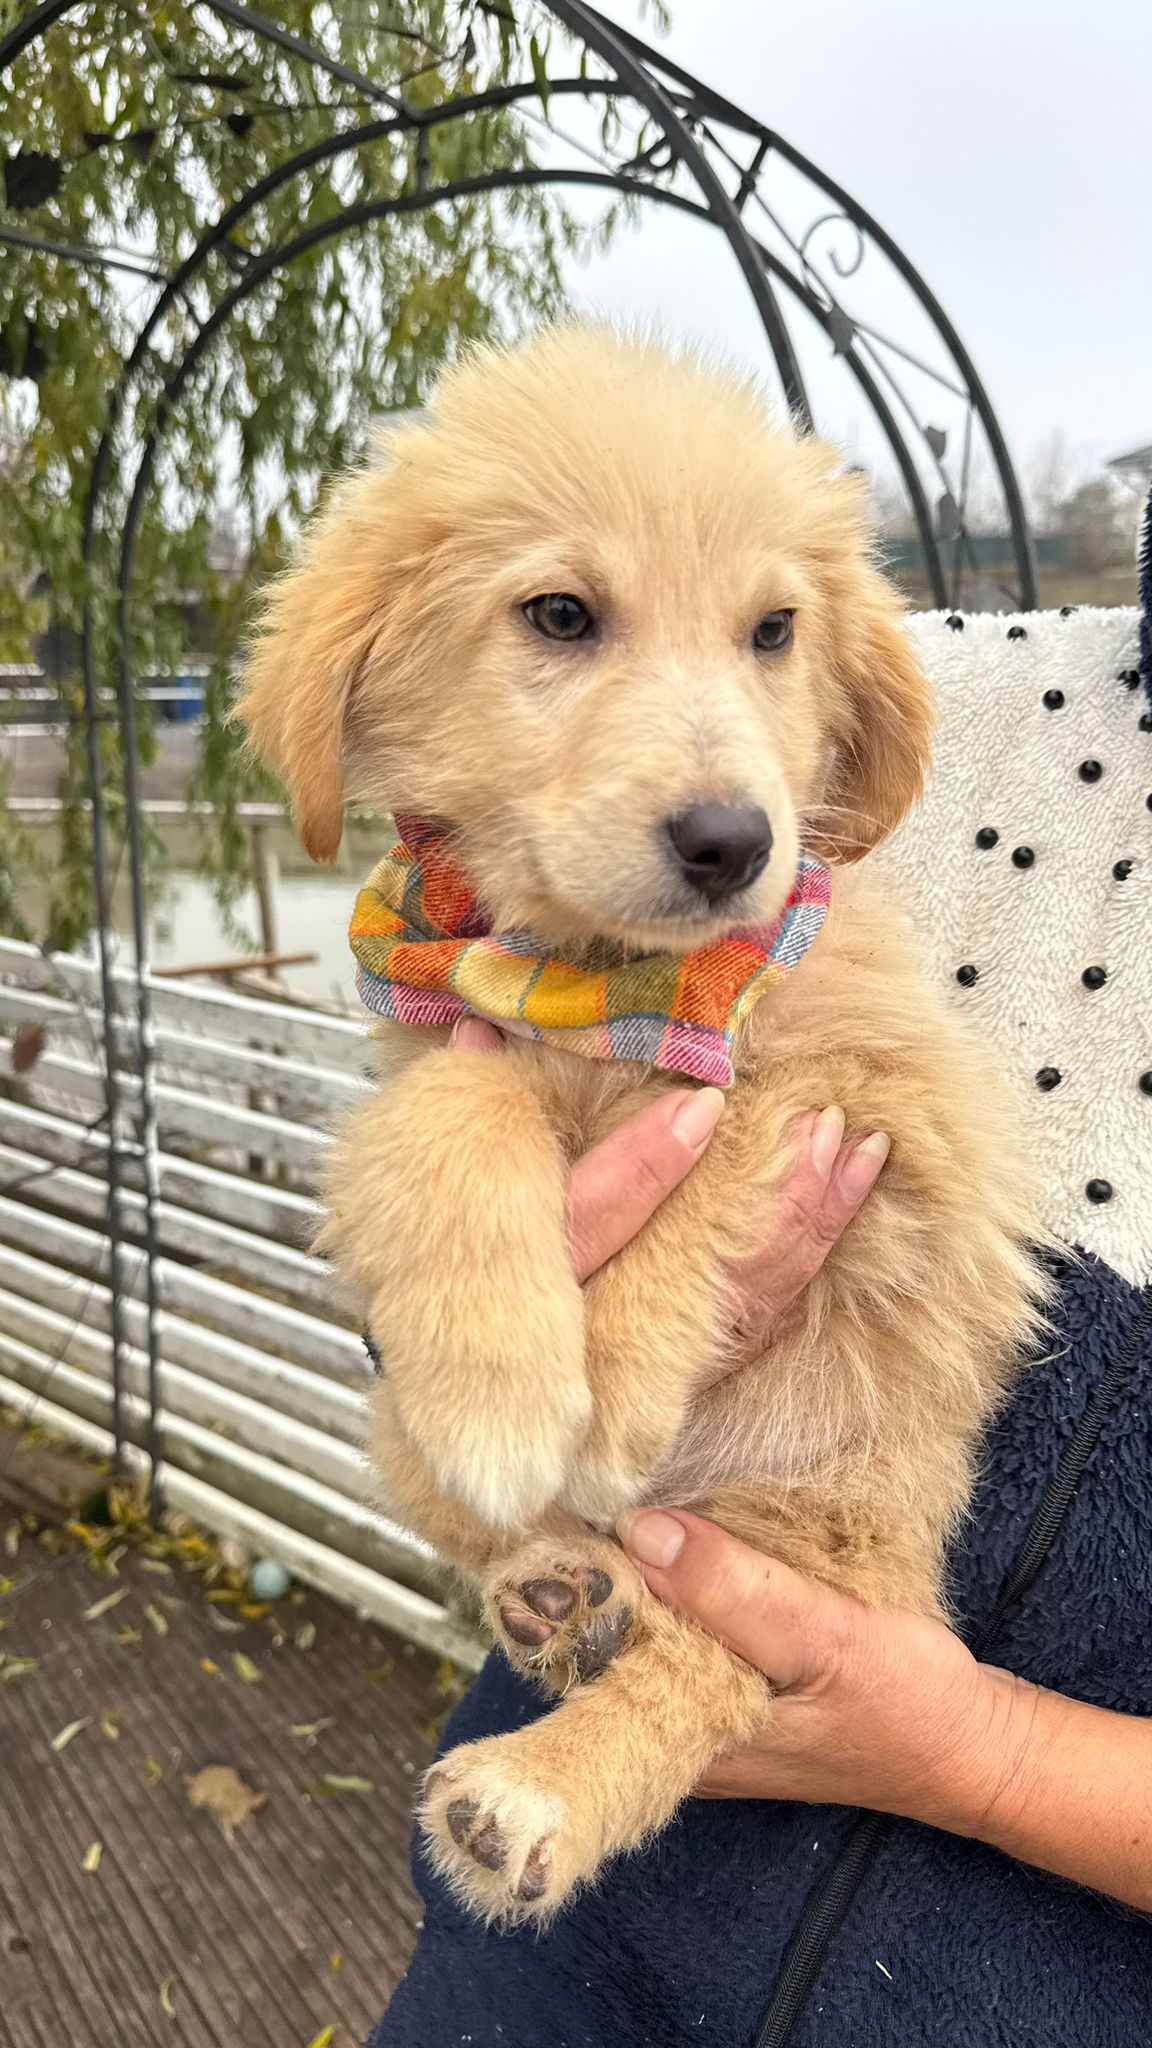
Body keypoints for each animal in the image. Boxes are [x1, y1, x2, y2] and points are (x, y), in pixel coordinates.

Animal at [238, 327, 1044, 1924]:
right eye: (560, 614)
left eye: (774, 631)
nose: (735, 843)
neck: (604, 984)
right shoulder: (427, 1048)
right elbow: (457, 1104)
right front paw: (501, 1385)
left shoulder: (904, 1116)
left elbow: (725, 1128)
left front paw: (603, 1386)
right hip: (409, 1444)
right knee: (563, 1574)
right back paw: (563, 1595)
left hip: (820, 1538)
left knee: (700, 1677)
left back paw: (528, 1794)